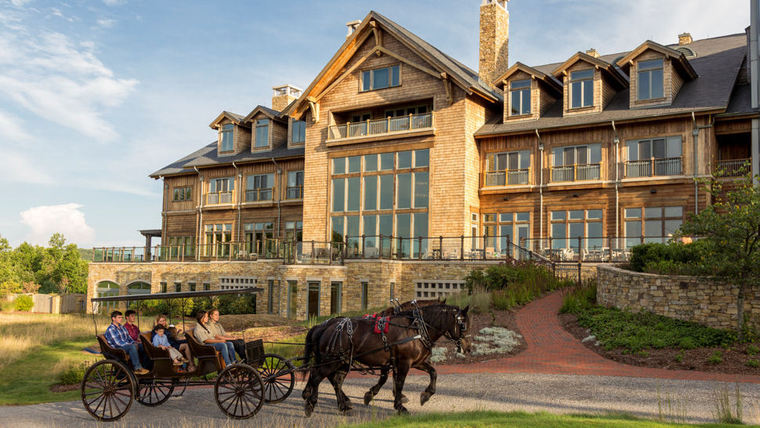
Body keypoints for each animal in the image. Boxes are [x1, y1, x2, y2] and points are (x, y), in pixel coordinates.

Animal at [302, 302, 470, 416]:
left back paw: (342, 405)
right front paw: (399, 406)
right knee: (317, 377)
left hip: (342, 361)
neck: (416, 329)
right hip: (333, 361)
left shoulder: (416, 362)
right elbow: (399, 382)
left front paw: (426, 395)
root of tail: (325, 326)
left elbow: (433, 372)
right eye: (462, 325)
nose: (467, 348)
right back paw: (311, 403)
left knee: (334, 380)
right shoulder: (403, 362)